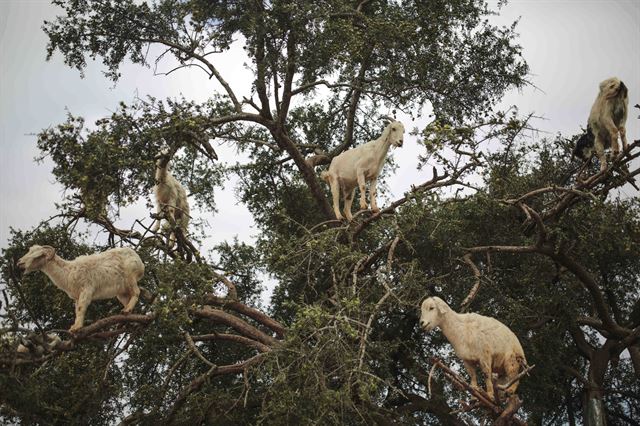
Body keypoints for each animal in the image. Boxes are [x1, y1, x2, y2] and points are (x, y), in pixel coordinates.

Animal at [15, 245, 146, 332]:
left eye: (38, 256)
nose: (19, 263)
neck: (68, 272)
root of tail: (140, 262)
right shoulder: (77, 297)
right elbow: (77, 311)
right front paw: (74, 327)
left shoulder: (86, 291)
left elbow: (81, 308)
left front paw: (76, 328)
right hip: (121, 292)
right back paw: (127, 316)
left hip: (130, 277)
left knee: (136, 292)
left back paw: (127, 311)